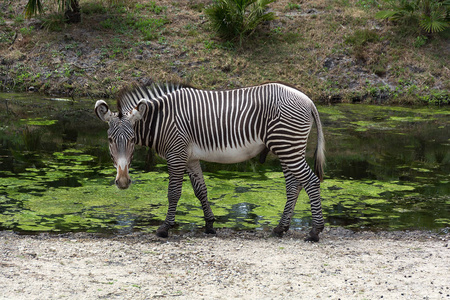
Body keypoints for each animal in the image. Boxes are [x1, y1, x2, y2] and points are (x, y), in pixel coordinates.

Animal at [95, 81, 326, 243]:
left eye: (132, 139)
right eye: (110, 140)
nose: (123, 182)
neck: (163, 120)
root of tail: (308, 100)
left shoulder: (176, 155)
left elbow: (173, 193)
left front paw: (165, 228)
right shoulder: (190, 158)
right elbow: (201, 191)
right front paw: (209, 225)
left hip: (288, 147)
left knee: (311, 182)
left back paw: (315, 231)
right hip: (286, 148)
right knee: (294, 186)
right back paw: (280, 228)